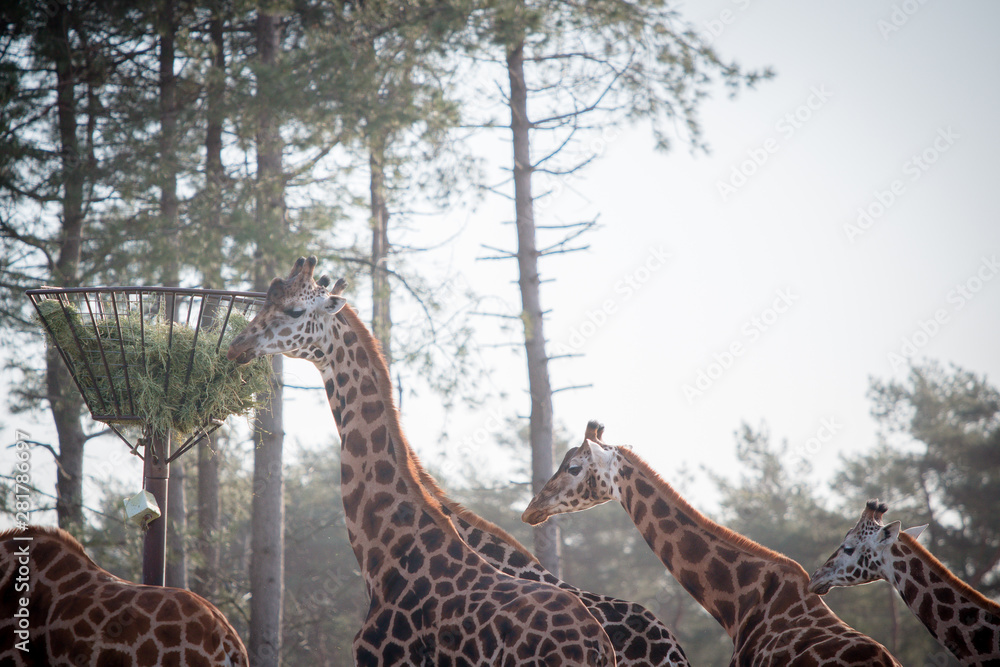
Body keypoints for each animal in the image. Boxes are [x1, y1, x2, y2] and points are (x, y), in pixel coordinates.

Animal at [226, 256, 616, 666]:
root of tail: (597, 647)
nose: (236, 347)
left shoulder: (385, 657)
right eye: (264, 301)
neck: (385, 557)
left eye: (295, 311)